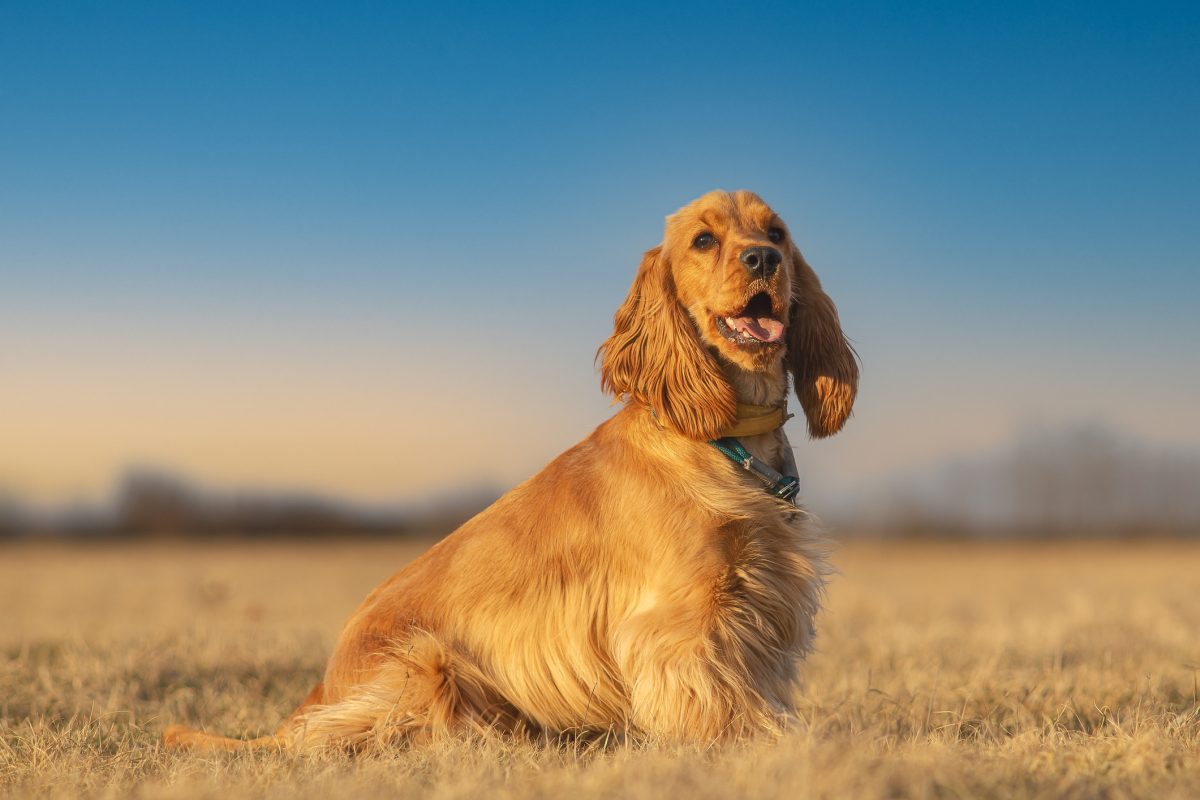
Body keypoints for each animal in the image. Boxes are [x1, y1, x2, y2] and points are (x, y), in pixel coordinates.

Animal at [164, 190, 859, 753]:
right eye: (704, 240)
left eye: (777, 234)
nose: (762, 260)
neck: (724, 437)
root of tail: (309, 699)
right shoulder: (683, 620)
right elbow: (714, 698)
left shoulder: (758, 597)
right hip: (425, 661)